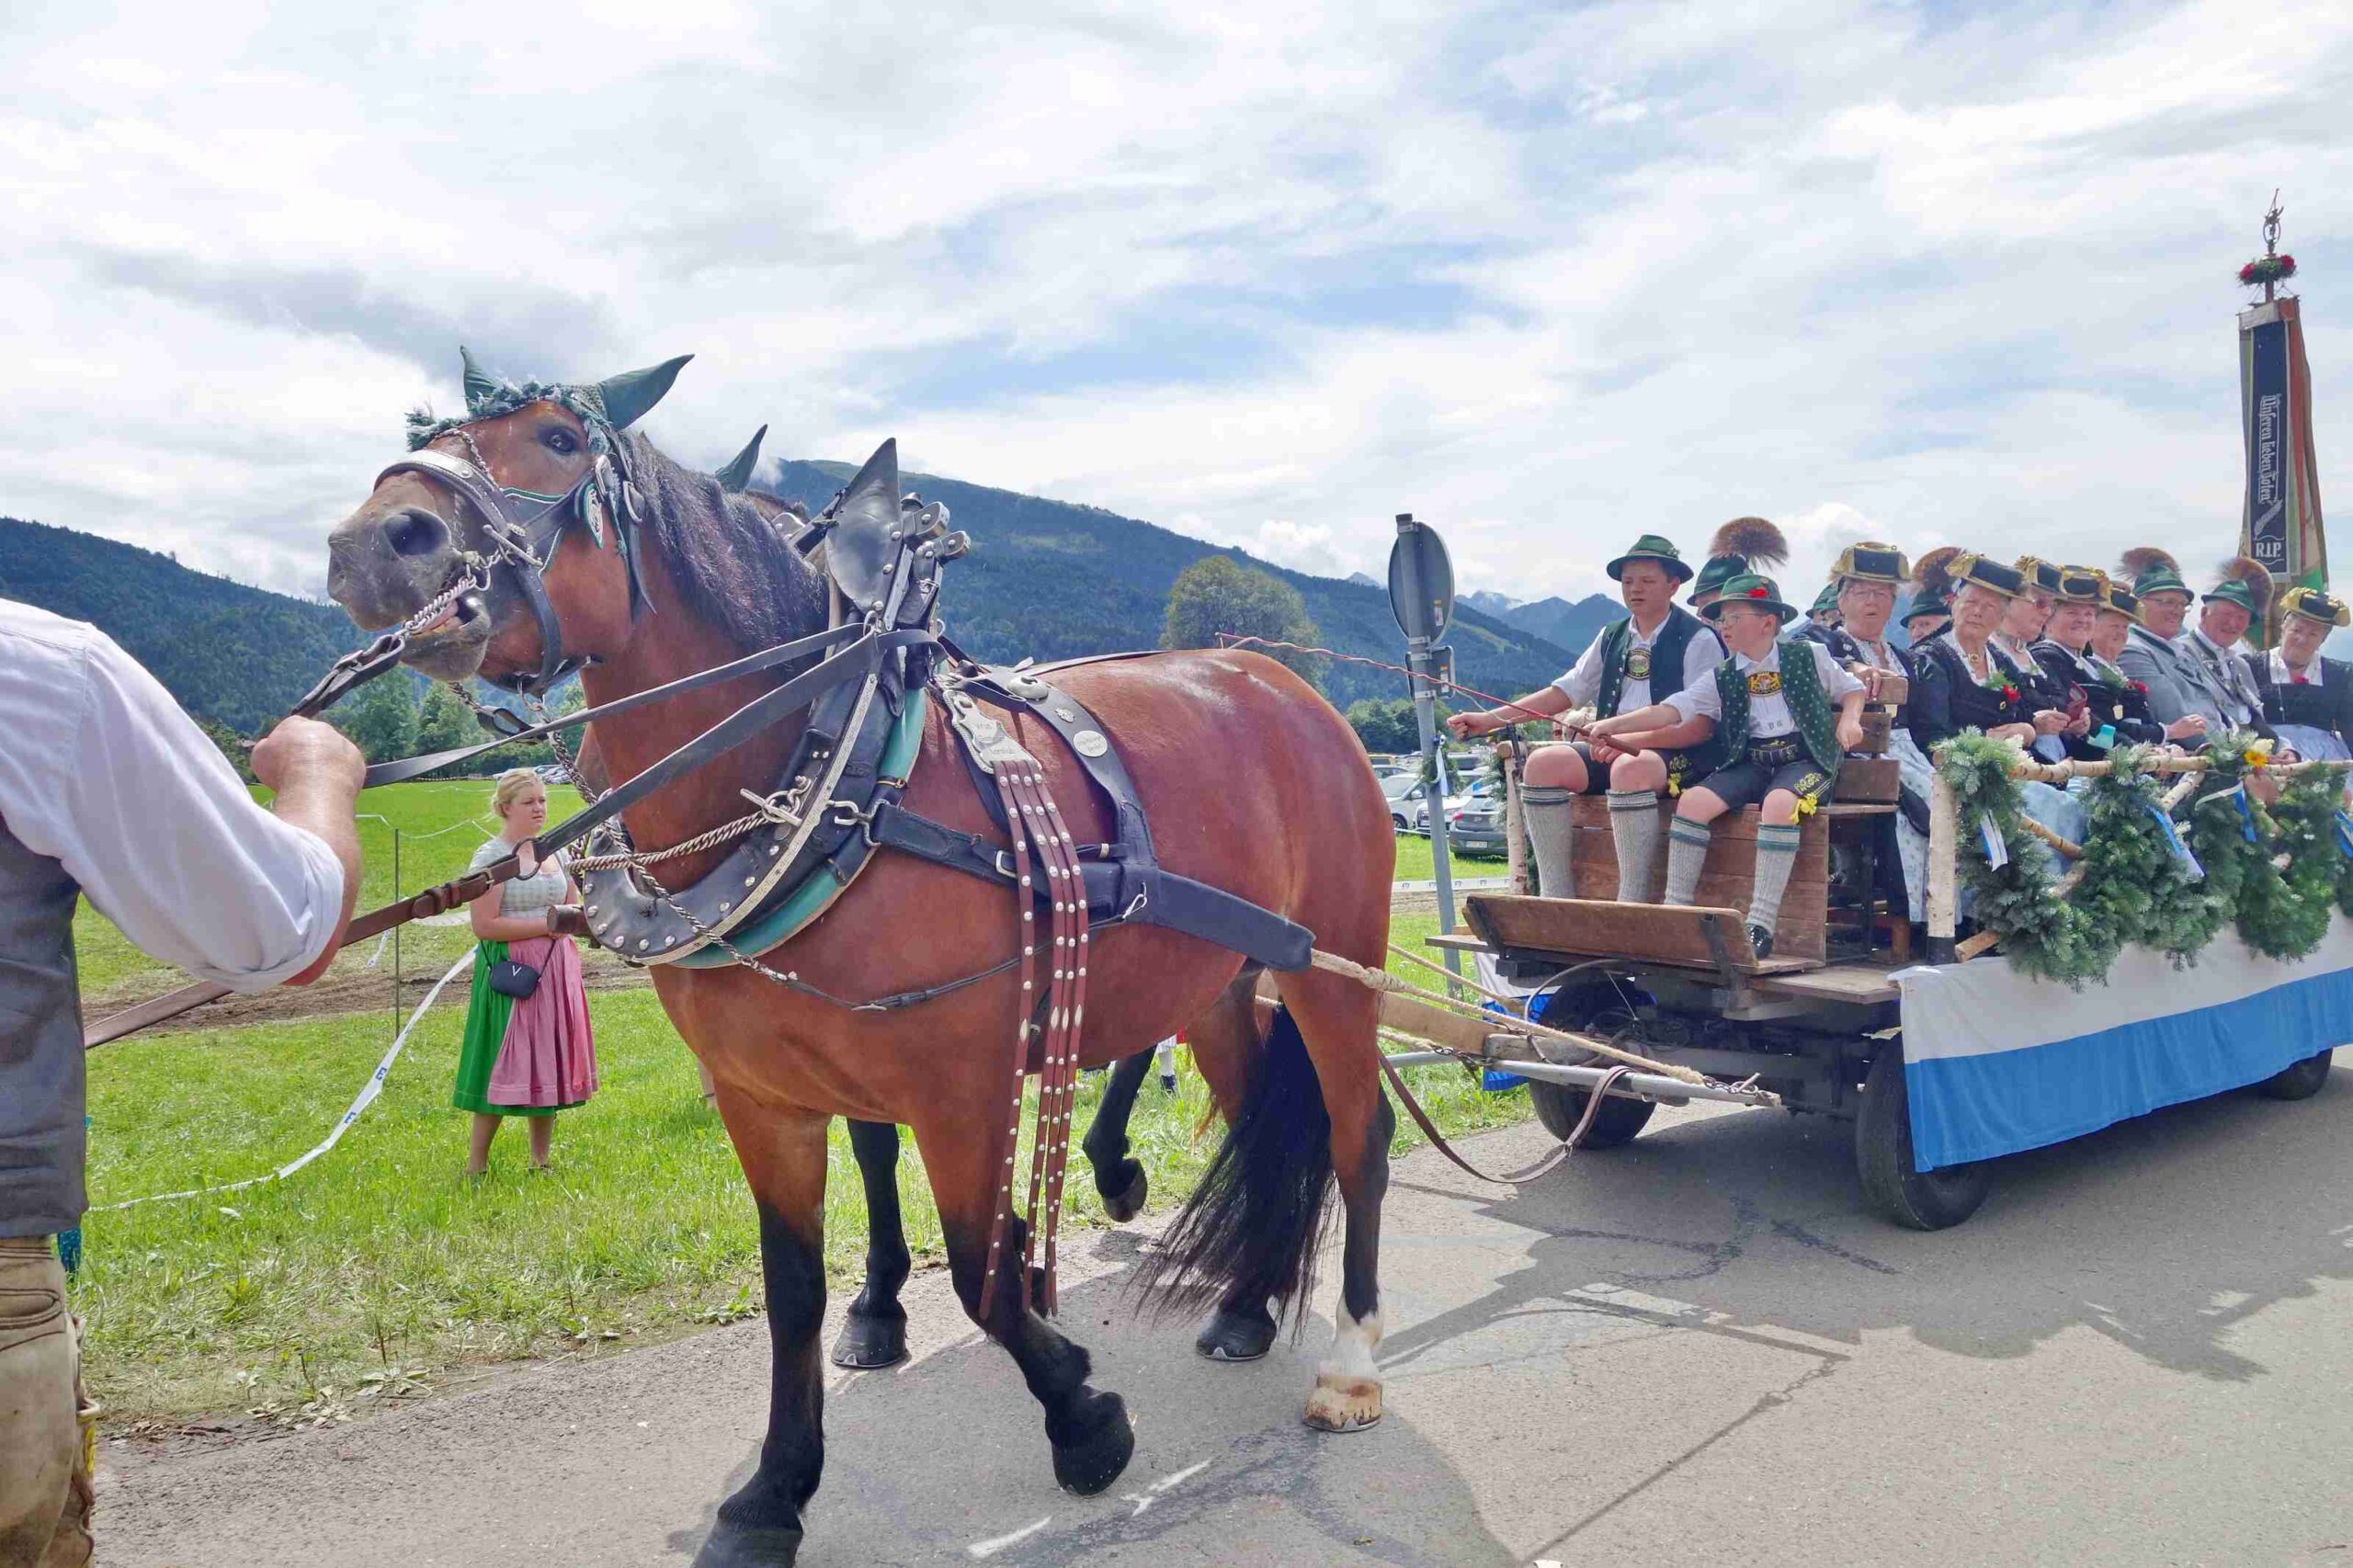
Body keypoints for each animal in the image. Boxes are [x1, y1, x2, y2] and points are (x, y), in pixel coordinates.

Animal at [323, 354, 1396, 1568]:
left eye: (558, 439)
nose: (373, 542)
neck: (832, 778)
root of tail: (1286, 686)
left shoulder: (959, 1081)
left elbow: (979, 1266)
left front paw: (1081, 1413)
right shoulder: (765, 1093)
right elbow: (793, 1284)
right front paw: (774, 1487)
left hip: (1332, 963)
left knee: (1357, 1136)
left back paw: (1350, 1362)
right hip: (1218, 982)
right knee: (1259, 1113)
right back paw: (1243, 1302)